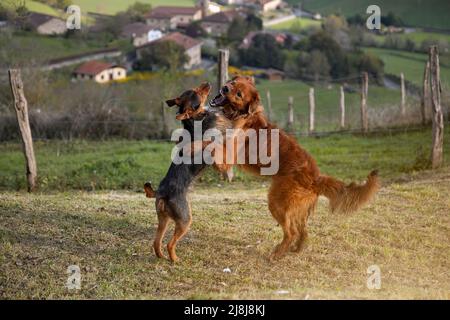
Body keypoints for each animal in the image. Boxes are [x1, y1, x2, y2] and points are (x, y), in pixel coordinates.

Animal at [145, 83, 232, 262]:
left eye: (196, 88)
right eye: (197, 93)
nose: (207, 83)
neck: (195, 120)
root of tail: (161, 192)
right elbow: (220, 154)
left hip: (163, 218)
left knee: (156, 242)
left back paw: (161, 256)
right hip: (185, 220)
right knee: (169, 243)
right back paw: (175, 259)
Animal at [211, 76, 380, 262]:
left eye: (239, 94)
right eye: (233, 83)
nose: (225, 88)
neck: (241, 115)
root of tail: (316, 178)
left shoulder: (229, 153)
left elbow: (211, 147)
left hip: (276, 202)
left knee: (291, 232)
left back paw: (277, 254)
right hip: (296, 209)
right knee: (303, 232)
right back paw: (296, 249)